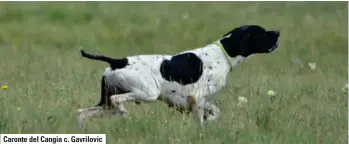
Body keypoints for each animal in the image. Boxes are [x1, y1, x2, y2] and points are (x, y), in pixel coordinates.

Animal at [77, 24, 280, 127]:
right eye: (262, 32)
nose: (278, 32)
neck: (223, 54)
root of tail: (117, 61)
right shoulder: (198, 98)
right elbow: (202, 122)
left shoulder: (198, 100)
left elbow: (215, 112)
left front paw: (210, 119)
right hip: (146, 93)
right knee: (118, 101)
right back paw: (125, 115)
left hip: (105, 105)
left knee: (81, 113)